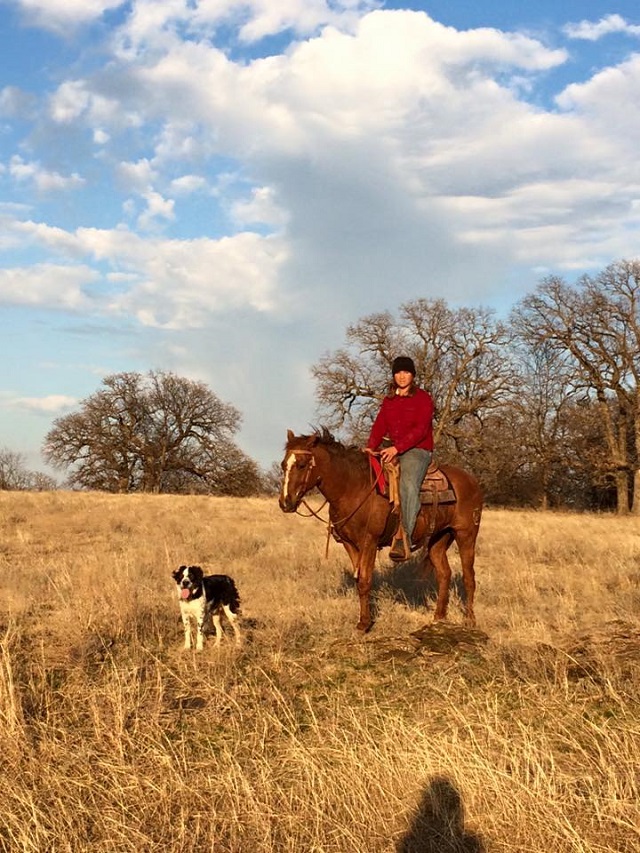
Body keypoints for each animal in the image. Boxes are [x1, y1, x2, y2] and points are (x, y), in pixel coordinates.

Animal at [278, 426, 482, 632]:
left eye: (302, 465)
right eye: (283, 465)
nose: (285, 502)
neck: (353, 488)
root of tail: (472, 481)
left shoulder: (369, 541)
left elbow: (365, 580)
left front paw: (364, 624)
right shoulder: (349, 543)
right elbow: (359, 580)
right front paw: (363, 620)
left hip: (466, 535)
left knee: (468, 577)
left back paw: (470, 620)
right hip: (438, 539)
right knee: (444, 574)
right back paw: (438, 618)